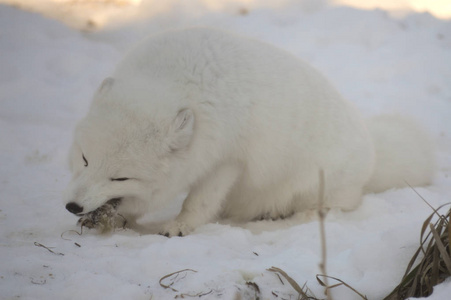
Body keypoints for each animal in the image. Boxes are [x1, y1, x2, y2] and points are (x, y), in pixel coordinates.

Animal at [62, 27, 434, 237]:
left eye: (120, 177)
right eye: (85, 158)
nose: (72, 206)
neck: (175, 80)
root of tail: (372, 149)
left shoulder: (226, 160)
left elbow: (199, 201)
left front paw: (179, 226)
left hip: (316, 186)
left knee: (330, 209)